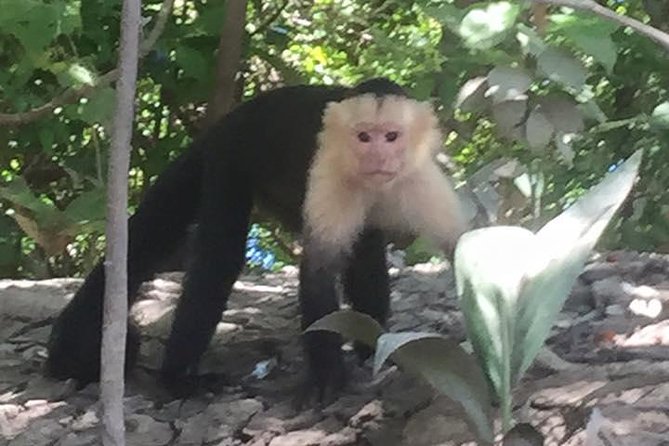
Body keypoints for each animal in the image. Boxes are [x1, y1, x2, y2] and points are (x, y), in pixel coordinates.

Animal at [47, 78, 464, 402]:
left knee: (365, 250)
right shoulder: (327, 176)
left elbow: (461, 246)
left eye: (391, 137)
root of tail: (230, 118)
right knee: (219, 257)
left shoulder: (423, 180)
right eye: (364, 137)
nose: (377, 156)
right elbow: (316, 274)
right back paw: (179, 379)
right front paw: (328, 376)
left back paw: (369, 345)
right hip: (229, 157)